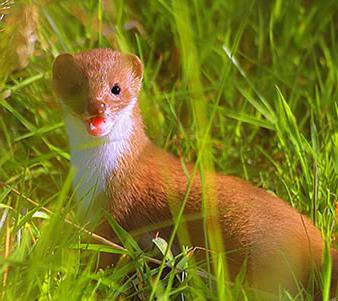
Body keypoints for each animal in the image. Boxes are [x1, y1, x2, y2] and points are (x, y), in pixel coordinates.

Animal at [51, 48, 336, 296]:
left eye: (116, 88)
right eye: (76, 87)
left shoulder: (116, 210)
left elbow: (104, 254)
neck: (93, 174)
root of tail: (315, 239)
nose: (97, 106)